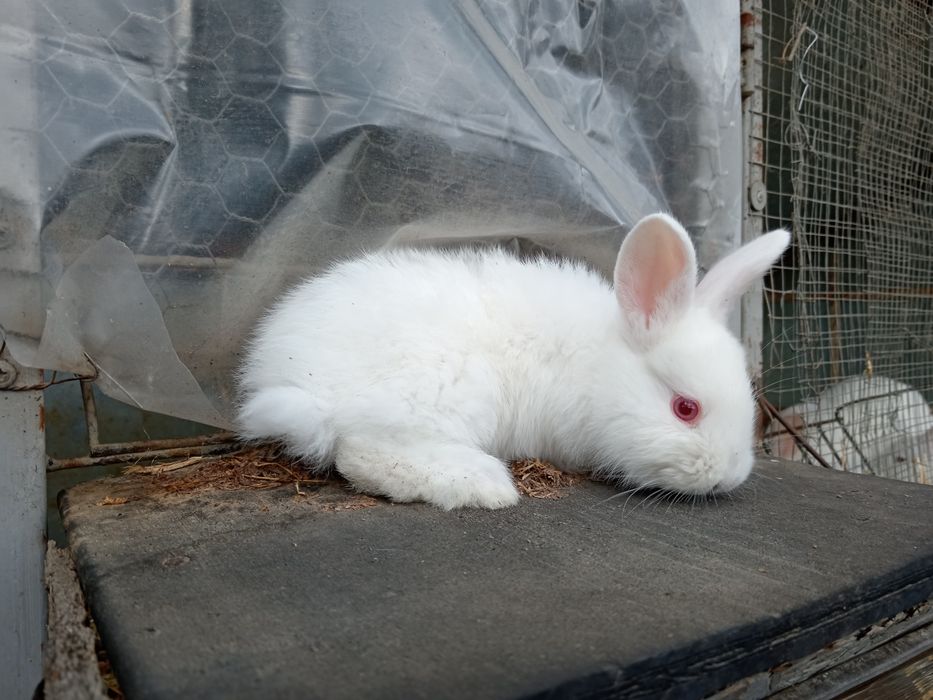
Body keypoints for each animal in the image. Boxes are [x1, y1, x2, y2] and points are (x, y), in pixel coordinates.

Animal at [236, 214, 790, 509]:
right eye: (685, 409)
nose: (728, 477)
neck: (598, 365)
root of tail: (285, 375)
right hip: (445, 393)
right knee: (363, 452)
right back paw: (484, 485)